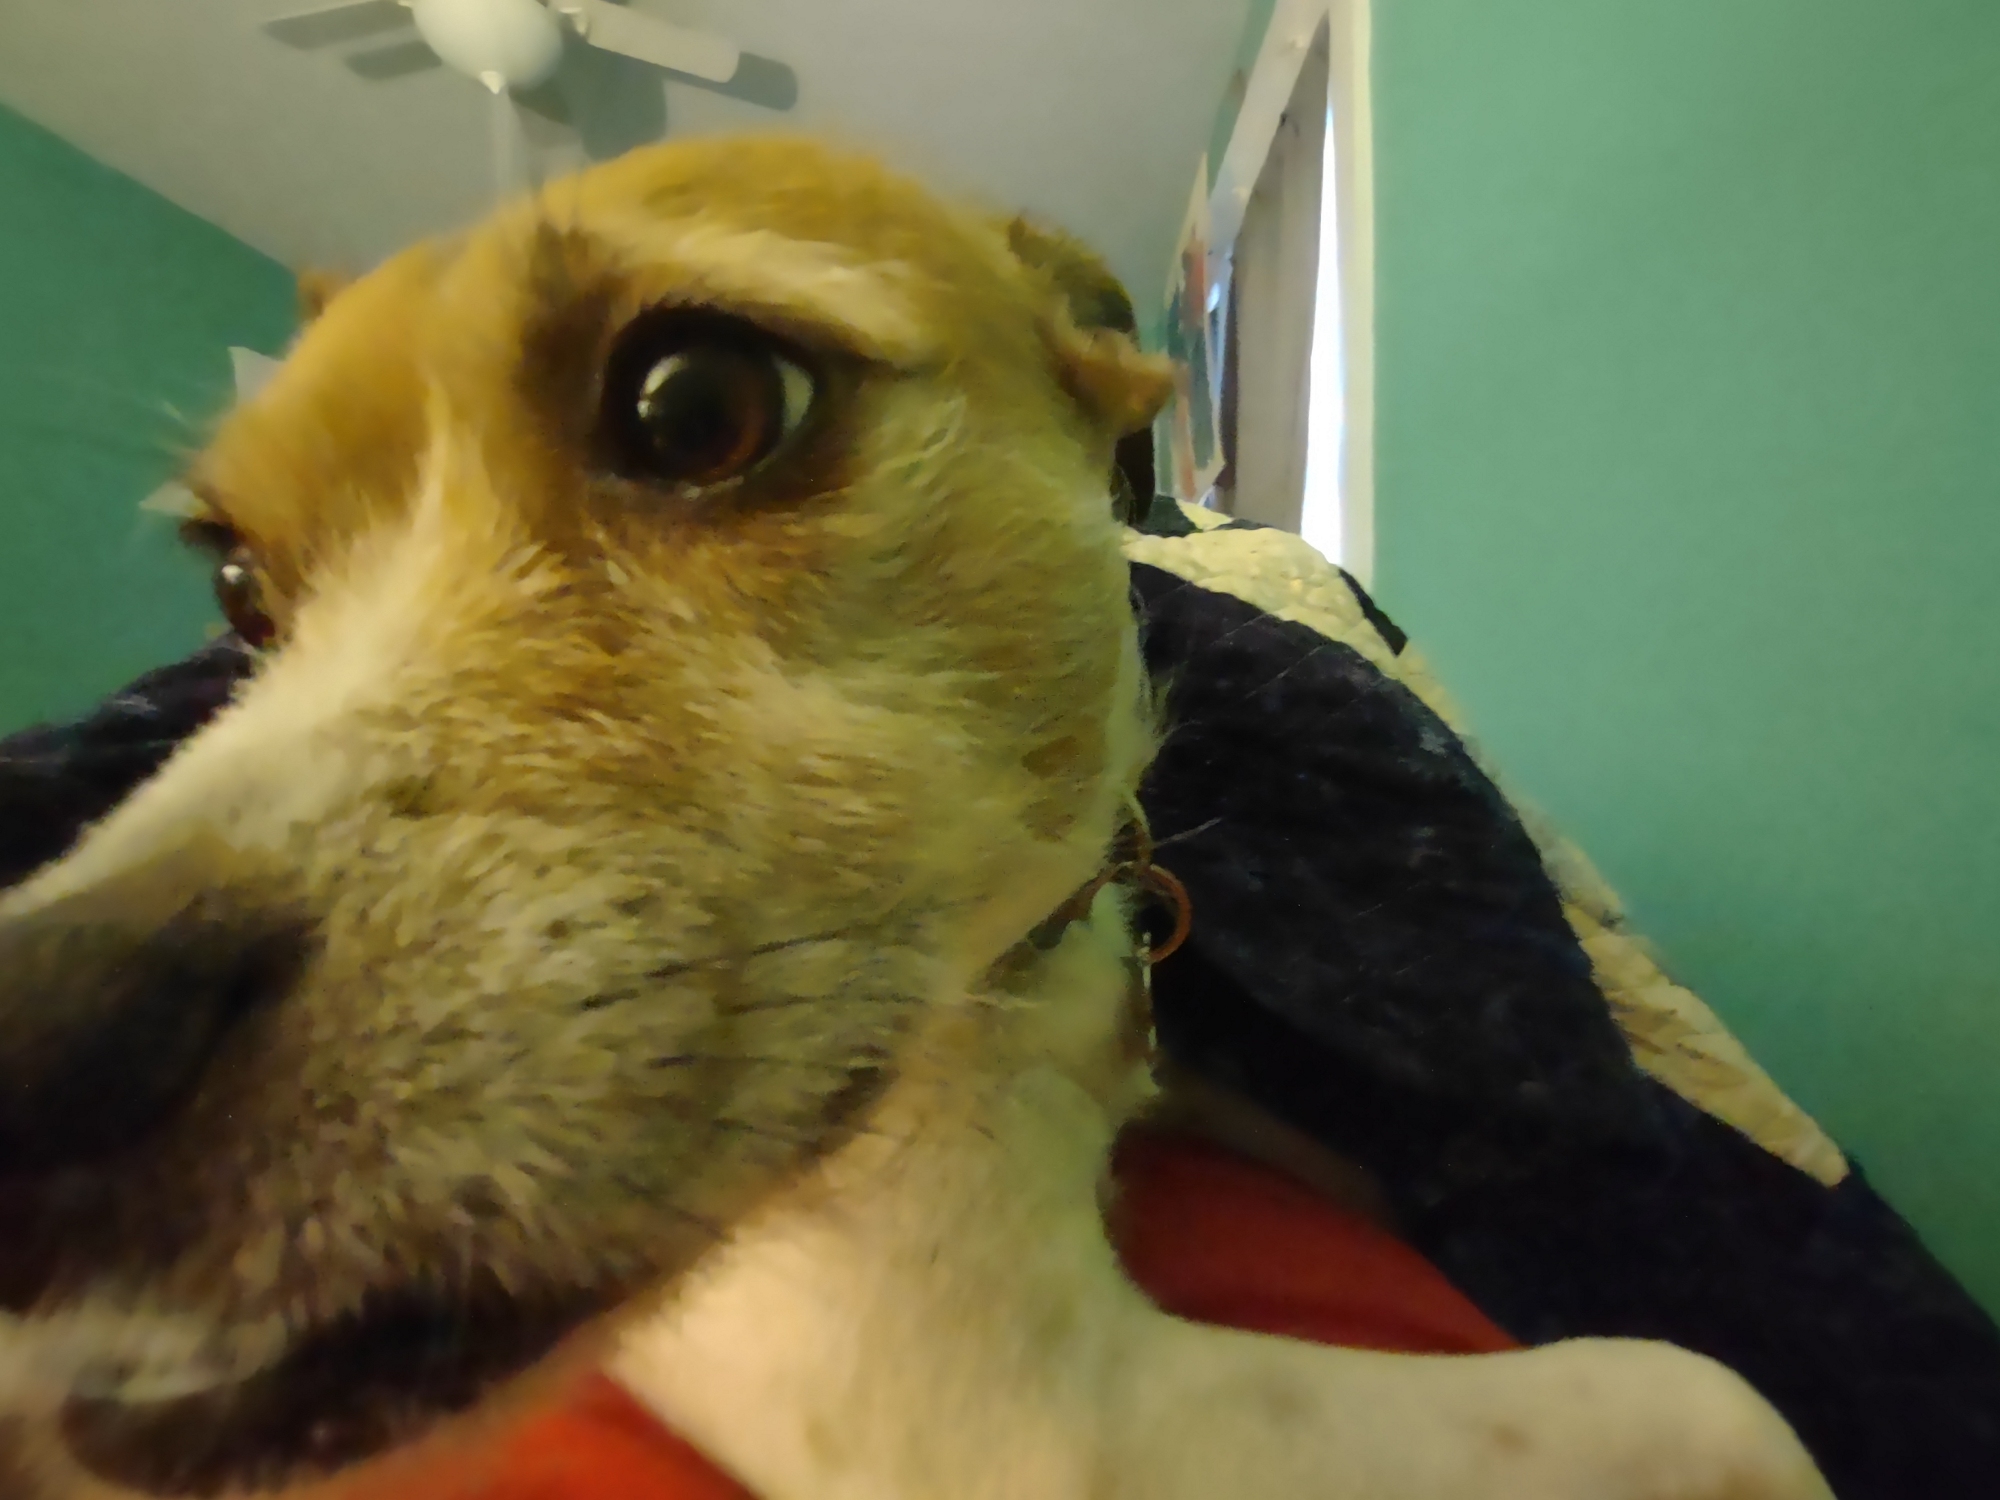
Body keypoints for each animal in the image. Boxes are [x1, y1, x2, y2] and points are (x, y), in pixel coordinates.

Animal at [0, 137, 1833, 1500]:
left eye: (700, 406)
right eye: (240, 589)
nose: (42, 1040)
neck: (1002, 990)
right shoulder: (1055, 1424)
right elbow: (1709, 1392)